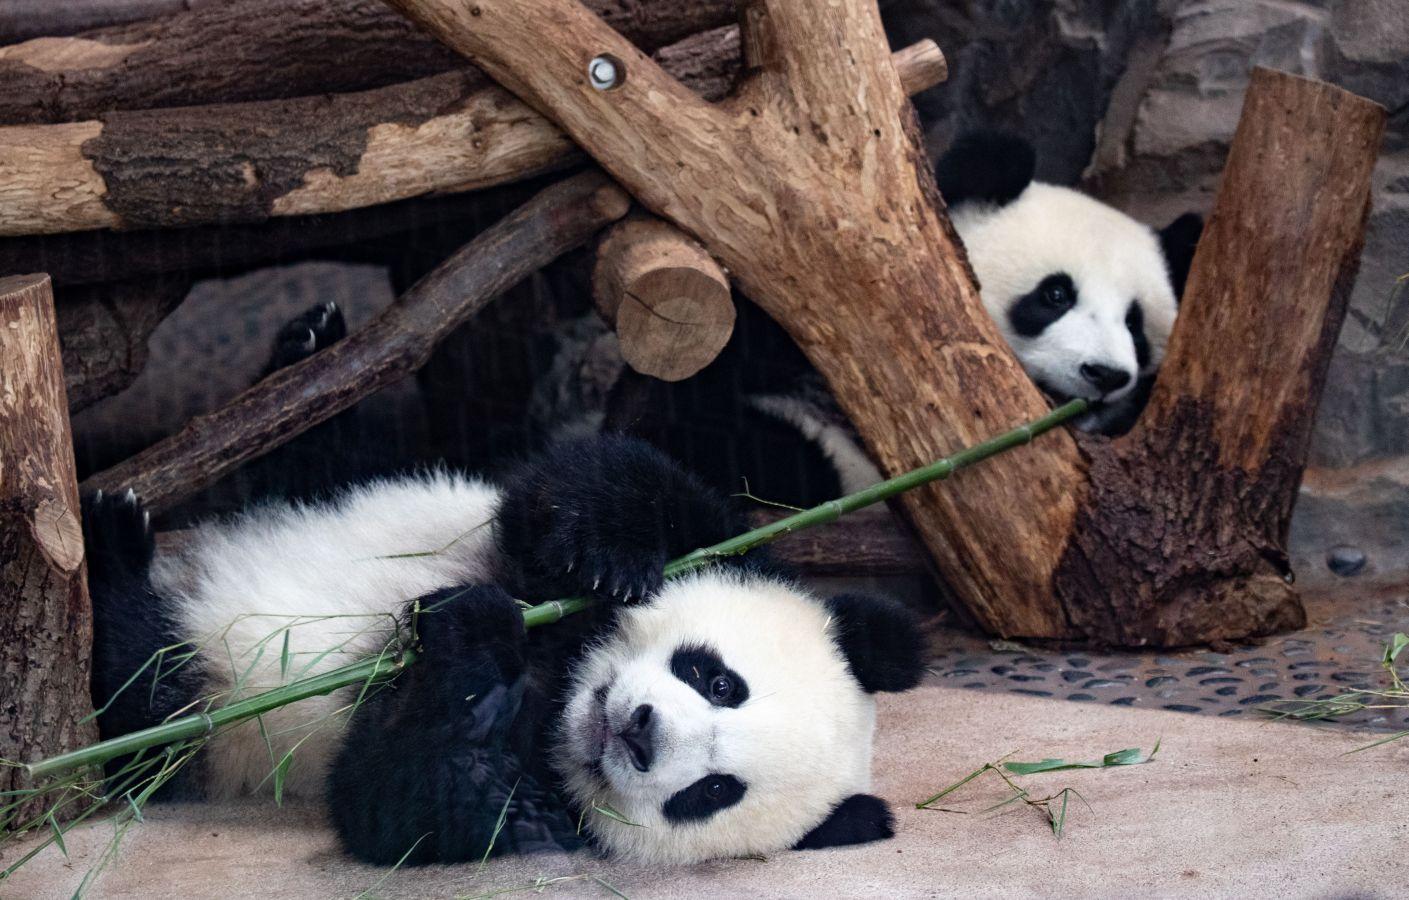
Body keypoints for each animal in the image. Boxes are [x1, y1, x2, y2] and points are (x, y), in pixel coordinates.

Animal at [83, 432, 926, 866]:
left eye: (713, 792)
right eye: (718, 680)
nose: (638, 731)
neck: (562, 693)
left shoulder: (537, 812)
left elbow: (396, 800)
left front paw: (472, 650)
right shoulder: (719, 531)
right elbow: (591, 477)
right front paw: (608, 562)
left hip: (203, 714)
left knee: (141, 691)